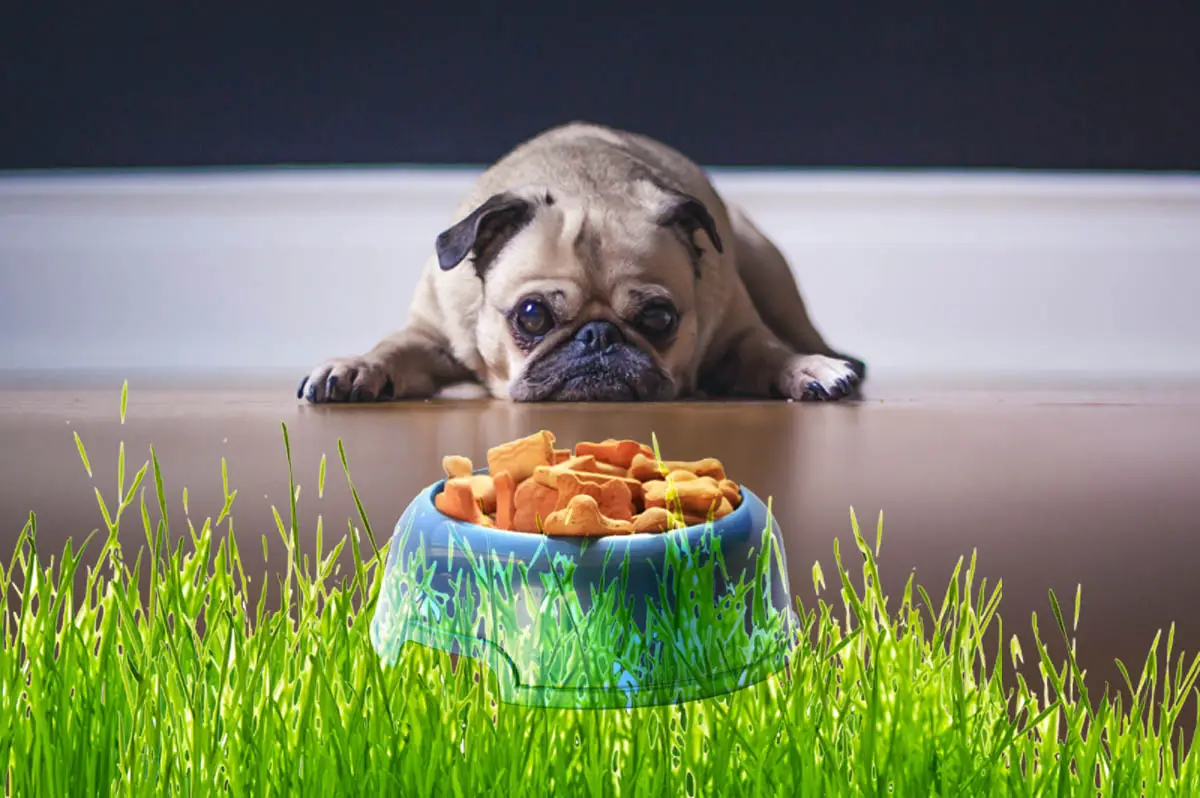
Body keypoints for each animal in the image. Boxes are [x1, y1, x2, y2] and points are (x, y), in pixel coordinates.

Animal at [298, 123, 864, 405]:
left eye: (658, 318)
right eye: (531, 316)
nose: (598, 335)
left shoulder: (737, 333)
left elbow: (769, 351)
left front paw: (805, 369)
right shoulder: (428, 335)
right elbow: (391, 347)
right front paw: (355, 367)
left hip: (767, 267)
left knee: (798, 332)